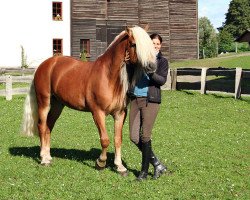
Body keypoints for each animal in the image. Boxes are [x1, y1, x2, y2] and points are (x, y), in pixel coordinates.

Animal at [21, 25, 156, 176]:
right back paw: (43, 159)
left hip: (57, 105)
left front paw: (120, 167)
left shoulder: (120, 114)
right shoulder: (97, 112)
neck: (108, 76)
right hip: (44, 102)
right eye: (134, 44)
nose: (152, 67)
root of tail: (44, 65)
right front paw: (101, 163)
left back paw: (48, 156)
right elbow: (105, 140)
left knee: (48, 127)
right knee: (41, 126)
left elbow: (117, 139)